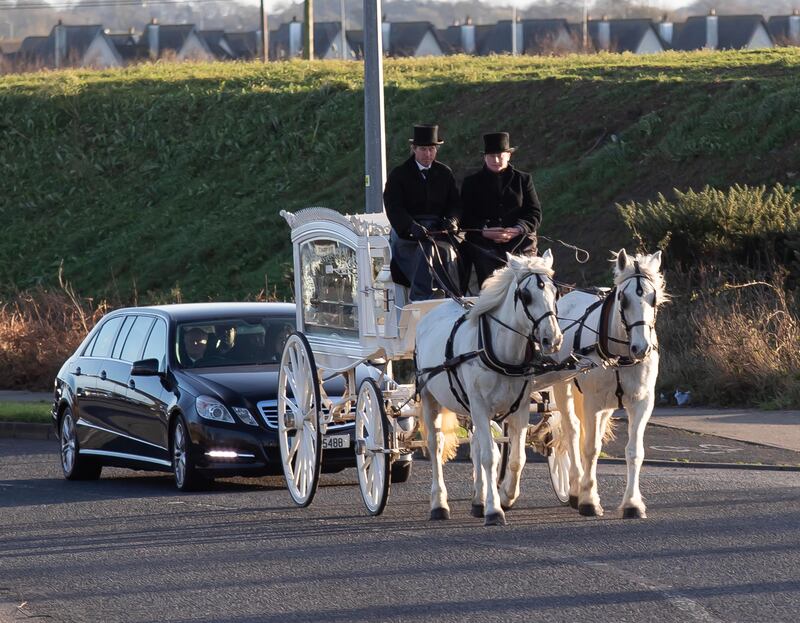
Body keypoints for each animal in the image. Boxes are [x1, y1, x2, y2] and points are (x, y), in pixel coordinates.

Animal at [418, 252, 564, 528]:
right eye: (526, 295)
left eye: (555, 292)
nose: (553, 339)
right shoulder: (480, 406)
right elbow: (490, 457)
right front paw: (494, 510)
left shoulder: (519, 409)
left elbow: (516, 458)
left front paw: (505, 496)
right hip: (430, 398)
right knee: (436, 446)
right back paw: (438, 504)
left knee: (475, 444)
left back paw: (477, 500)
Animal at [552, 251, 668, 520]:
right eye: (623, 299)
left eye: (654, 298)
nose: (641, 348)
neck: (620, 355)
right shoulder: (592, 403)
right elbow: (590, 448)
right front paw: (588, 501)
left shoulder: (641, 402)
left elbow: (635, 451)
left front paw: (633, 504)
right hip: (563, 388)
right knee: (573, 431)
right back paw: (576, 488)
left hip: (607, 404)